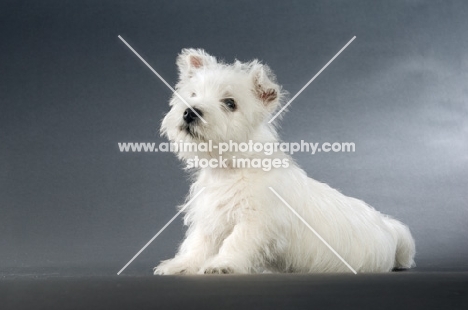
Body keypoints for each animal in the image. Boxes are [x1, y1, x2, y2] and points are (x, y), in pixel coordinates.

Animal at [155, 48, 414, 274]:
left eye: (230, 103)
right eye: (193, 94)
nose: (190, 111)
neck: (232, 167)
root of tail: (388, 227)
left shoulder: (255, 221)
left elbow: (235, 242)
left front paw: (223, 265)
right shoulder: (210, 220)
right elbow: (197, 244)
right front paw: (181, 265)